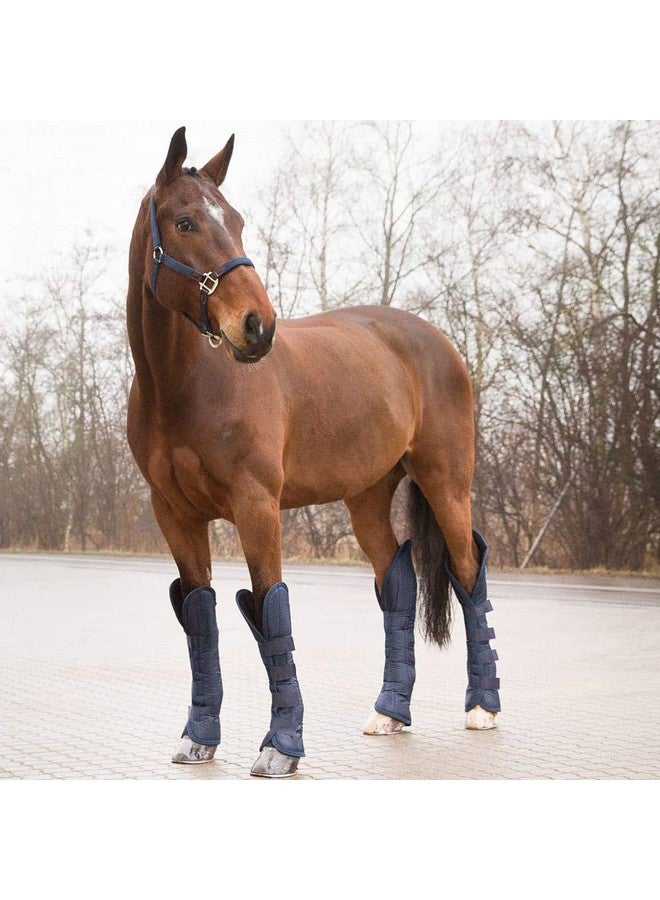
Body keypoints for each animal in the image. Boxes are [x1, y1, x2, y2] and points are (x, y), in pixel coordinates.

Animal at [126, 127, 500, 777]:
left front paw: (281, 746)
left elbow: (269, 611)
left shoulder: (256, 506)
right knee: (396, 583)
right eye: (186, 222)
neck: (181, 386)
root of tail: (438, 343)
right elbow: (200, 616)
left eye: (238, 221)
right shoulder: (174, 513)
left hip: (446, 482)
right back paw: (390, 713)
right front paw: (199, 738)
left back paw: (482, 707)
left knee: (466, 569)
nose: (258, 327)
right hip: (368, 496)